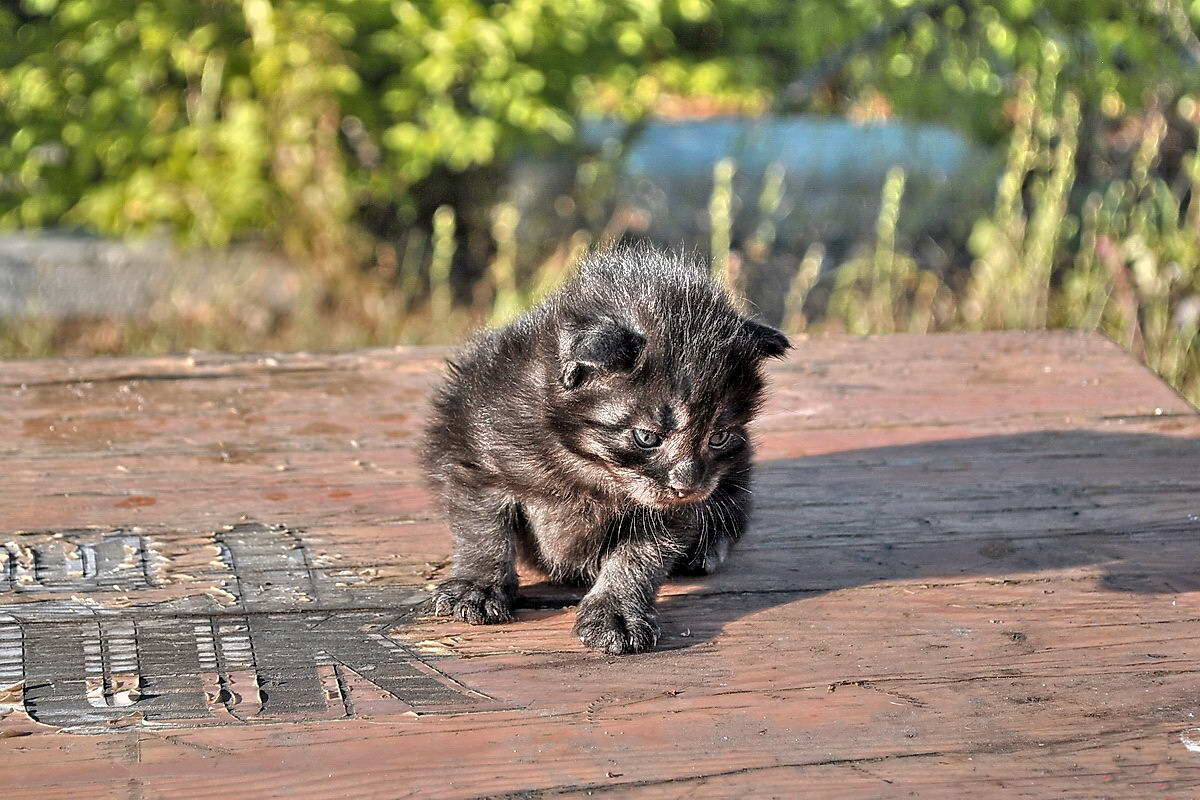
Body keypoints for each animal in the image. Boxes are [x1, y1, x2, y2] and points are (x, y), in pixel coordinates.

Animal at [422, 245, 787, 657]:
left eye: (719, 437)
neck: (585, 464)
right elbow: (482, 531)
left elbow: (637, 559)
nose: (688, 487)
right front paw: (478, 586)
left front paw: (616, 613)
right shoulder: (475, 461)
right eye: (646, 437)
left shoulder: (667, 514)